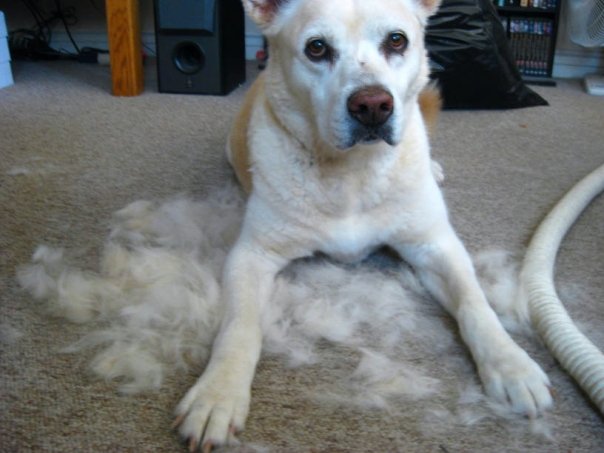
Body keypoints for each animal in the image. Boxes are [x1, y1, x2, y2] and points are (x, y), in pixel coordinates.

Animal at [174, 0, 553, 450]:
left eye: (397, 40)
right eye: (317, 47)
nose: (372, 105)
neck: (351, 172)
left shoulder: (436, 246)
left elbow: (475, 304)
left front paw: (511, 364)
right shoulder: (252, 255)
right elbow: (239, 326)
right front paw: (218, 392)